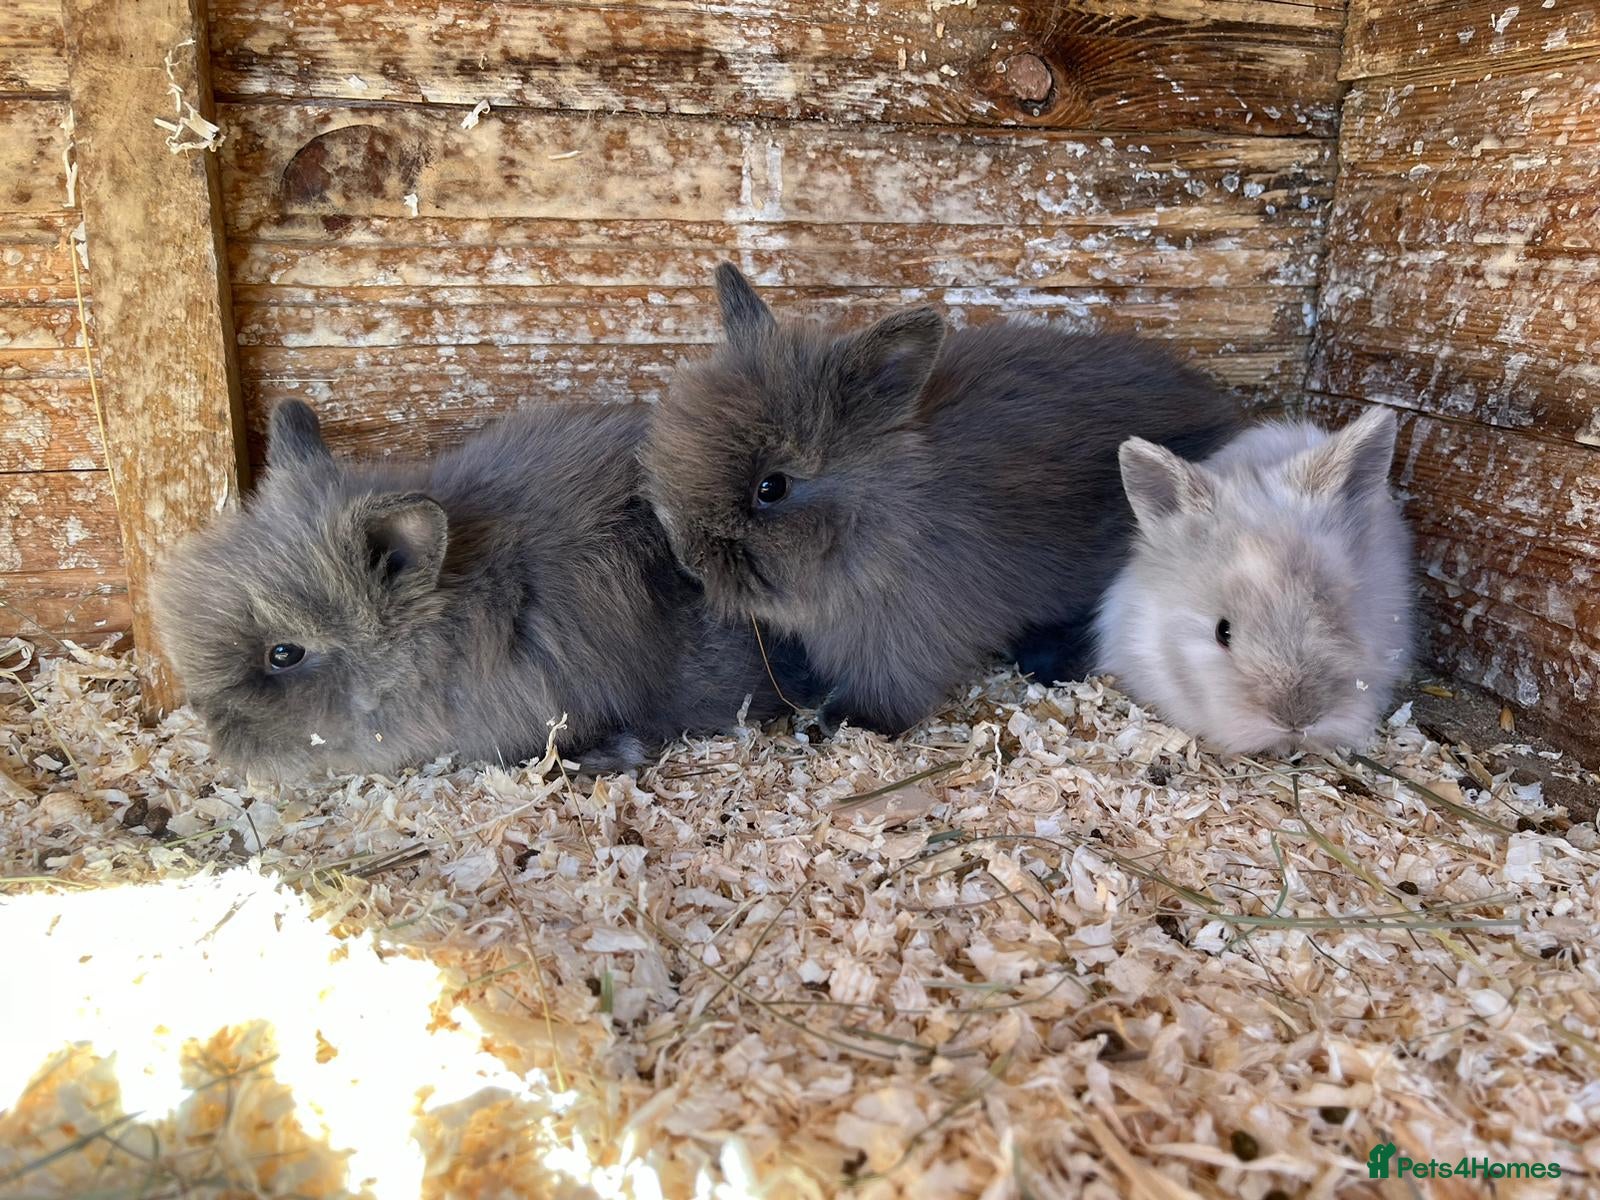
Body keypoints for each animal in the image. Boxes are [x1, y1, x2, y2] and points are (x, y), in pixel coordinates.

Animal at [639, 263, 1243, 735]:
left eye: (772, 487)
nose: (689, 561)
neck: (885, 515)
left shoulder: (903, 635)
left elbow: (891, 689)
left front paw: (845, 722)